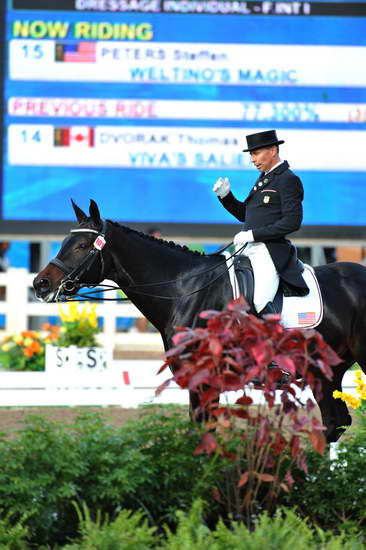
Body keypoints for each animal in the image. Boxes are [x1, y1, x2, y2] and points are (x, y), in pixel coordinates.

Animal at [32, 201, 366, 446]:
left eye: (82, 246)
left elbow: (207, 432)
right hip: (325, 371)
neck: (183, 289)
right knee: (335, 424)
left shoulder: (208, 380)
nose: (40, 284)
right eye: (65, 242)